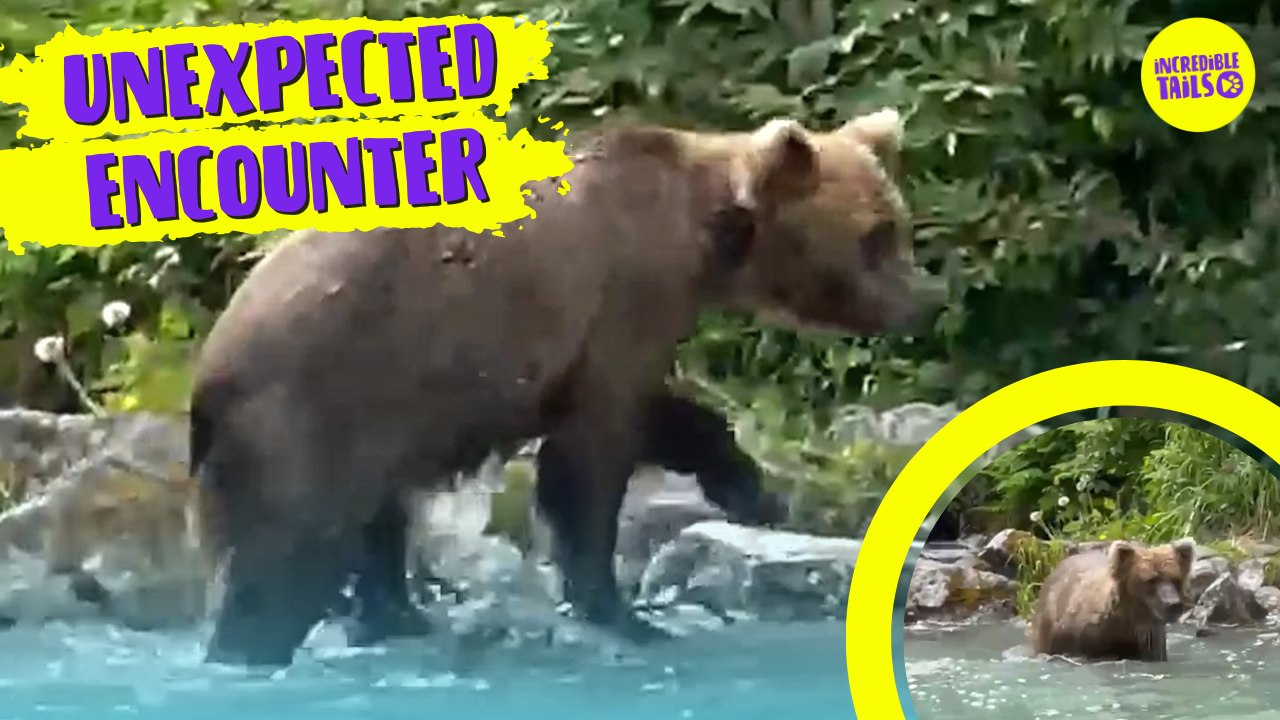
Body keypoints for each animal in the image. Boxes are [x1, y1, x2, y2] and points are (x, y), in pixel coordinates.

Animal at [189, 107, 935, 668]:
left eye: (897, 224)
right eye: (877, 235)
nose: (921, 301)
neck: (705, 230)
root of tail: (208, 372)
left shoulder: (586, 344)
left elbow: (654, 412)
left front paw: (749, 488)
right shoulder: (625, 291)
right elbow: (592, 456)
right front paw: (620, 611)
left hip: (381, 408)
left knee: (377, 526)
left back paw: (397, 618)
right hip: (312, 408)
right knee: (286, 557)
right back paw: (251, 647)